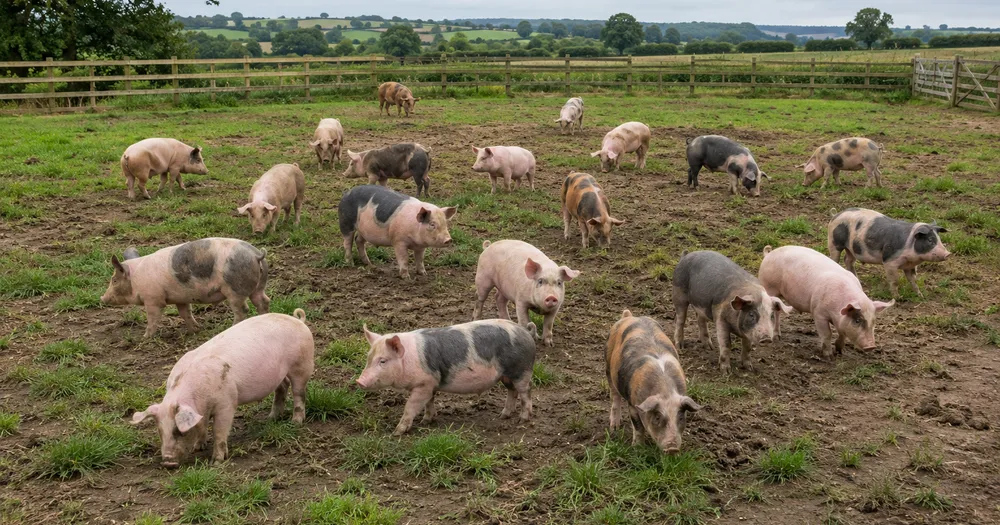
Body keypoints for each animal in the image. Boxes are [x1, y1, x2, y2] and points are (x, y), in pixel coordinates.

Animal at [100, 238, 270, 338]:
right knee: (263, 301)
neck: (136, 279)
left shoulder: (153, 298)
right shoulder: (180, 298)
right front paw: (196, 330)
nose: (102, 298)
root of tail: (256, 255)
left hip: (234, 289)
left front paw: (145, 337)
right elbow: (185, 313)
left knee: (242, 309)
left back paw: (230, 329)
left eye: (114, 280)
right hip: (259, 285)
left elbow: (153, 317)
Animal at [132, 309, 314, 467]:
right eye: (160, 430)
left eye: (179, 431)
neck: (199, 400)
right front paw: (199, 447)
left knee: (299, 393)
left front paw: (216, 462)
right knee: (282, 387)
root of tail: (298, 320)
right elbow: (202, 426)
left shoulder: (227, 403)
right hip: (280, 375)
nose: (168, 462)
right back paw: (271, 418)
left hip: (301, 365)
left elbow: (219, 430)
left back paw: (296, 422)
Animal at [357, 319, 535, 435]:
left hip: (521, 371)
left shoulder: (423, 384)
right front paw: (427, 420)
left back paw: (522, 419)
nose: (359, 381)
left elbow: (410, 406)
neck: (408, 359)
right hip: (506, 375)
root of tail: (526, 331)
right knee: (512, 391)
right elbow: (429, 402)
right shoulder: (430, 385)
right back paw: (503, 416)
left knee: (526, 392)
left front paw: (397, 432)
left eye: (383, 361)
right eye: (368, 358)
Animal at [606, 310, 701, 452]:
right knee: (615, 397)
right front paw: (637, 448)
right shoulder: (633, 404)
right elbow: (638, 427)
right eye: (657, 417)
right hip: (608, 367)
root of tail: (630, 316)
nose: (672, 448)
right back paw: (615, 428)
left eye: (680, 417)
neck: (665, 390)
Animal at [759, 245, 895, 358]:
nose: (871, 346)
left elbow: (842, 333)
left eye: (874, 321)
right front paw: (828, 356)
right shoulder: (818, 313)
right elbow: (827, 334)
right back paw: (776, 338)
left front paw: (840, 351)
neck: (836, 311)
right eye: (857, 320)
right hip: (769, 286)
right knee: (775, 311)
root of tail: (769, 254)